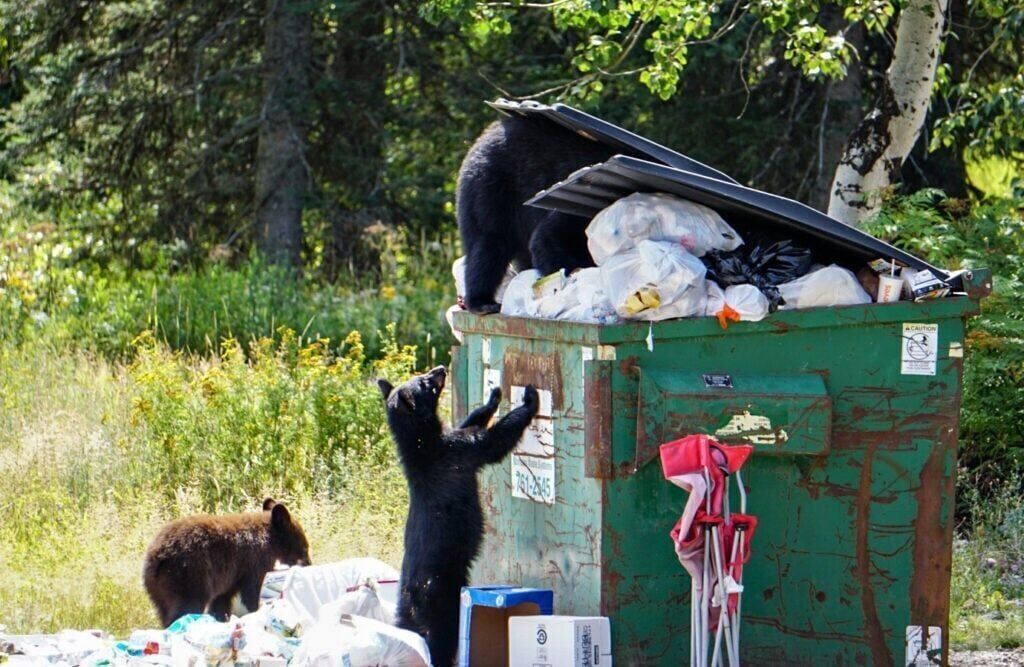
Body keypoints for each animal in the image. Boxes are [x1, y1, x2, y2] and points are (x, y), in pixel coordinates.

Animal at [142, 498, 310, 627]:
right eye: (305, 548)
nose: (309, 563)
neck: (271, 540)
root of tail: (156, 556)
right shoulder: (254, 561)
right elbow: (252, 590)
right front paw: (258, 610)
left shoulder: (230, 577)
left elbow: (222, 599)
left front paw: (222, 618)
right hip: (188, 576)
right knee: (187, 606)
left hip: (159, 590)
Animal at [377, 365, 539, 667]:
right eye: (424, 382)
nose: (440, 369)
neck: (422, 443)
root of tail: (410, 596)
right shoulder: (454, 453)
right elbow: (490, 442)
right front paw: (529, 400)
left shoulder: (449, 441)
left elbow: (469, 423)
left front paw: (492, 399)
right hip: (442, 598)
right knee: (441, 637)